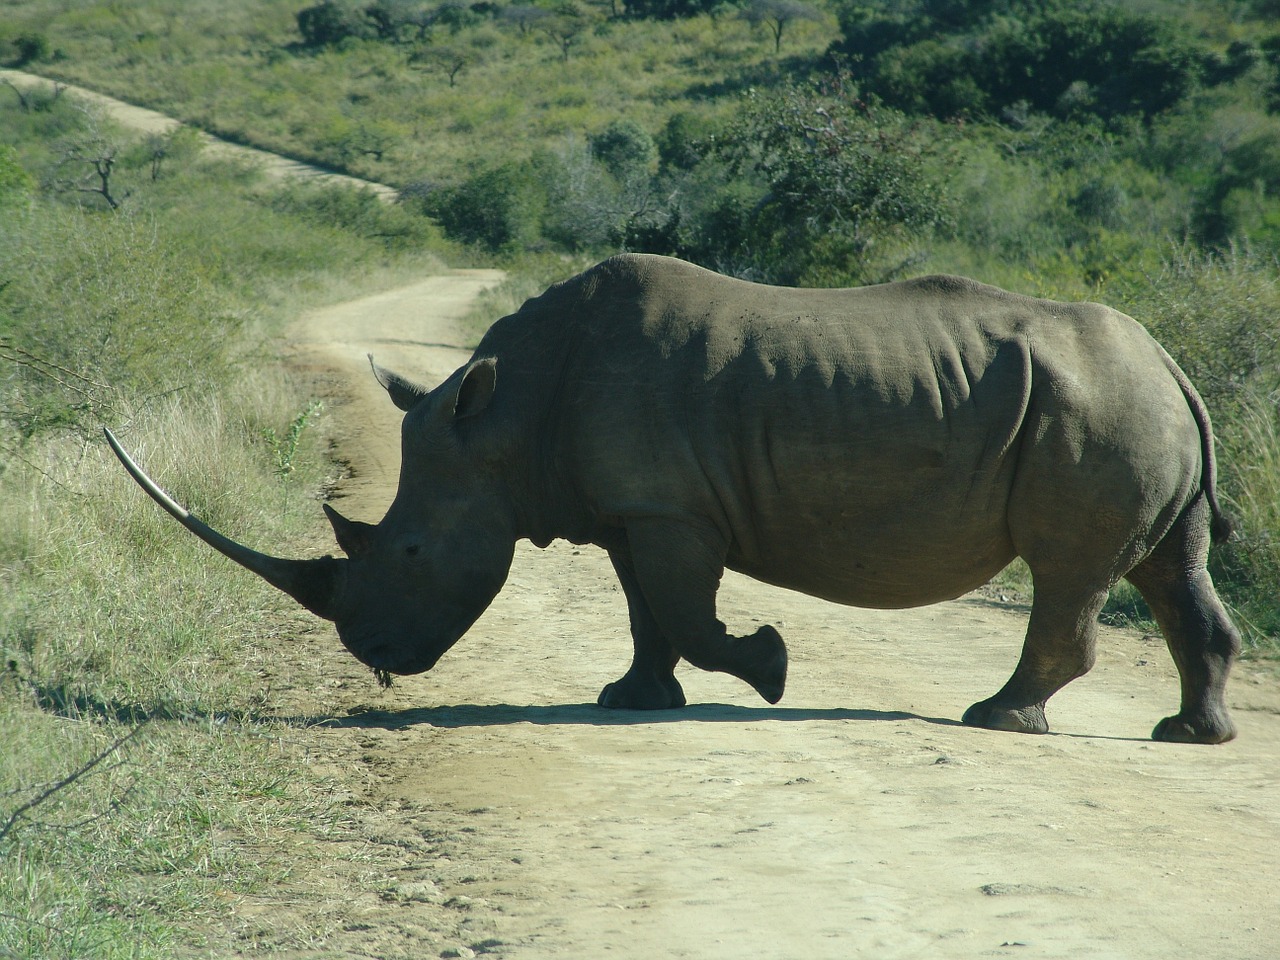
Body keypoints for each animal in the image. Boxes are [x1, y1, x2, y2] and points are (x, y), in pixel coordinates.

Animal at [106, 254, 1242, 743]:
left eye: (411, 554)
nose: (371, 656)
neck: (506, 418)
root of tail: (1174, 364)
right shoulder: (628, 510)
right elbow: (645, 615)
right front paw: (633, 701)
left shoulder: (669, 510)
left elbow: (690, 615)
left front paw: (771, 669)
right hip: (1127, 407)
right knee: (1170, 569)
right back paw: (1189, 736)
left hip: (1096, 410)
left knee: (1071, 571)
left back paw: (997, 719)